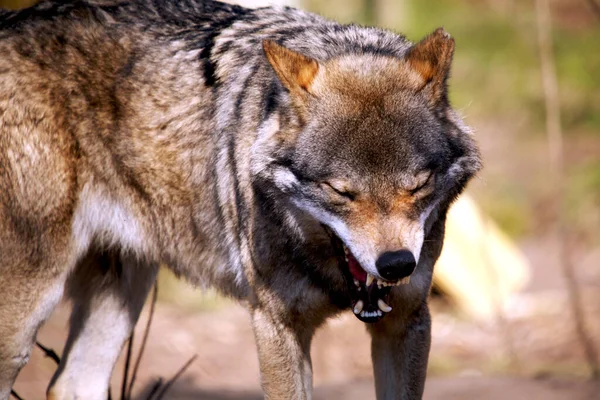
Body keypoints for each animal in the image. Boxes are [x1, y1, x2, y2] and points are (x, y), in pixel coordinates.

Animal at [0, 0, 480, 398]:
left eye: (417, 185)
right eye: (341, 191)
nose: (397, 265)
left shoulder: (407, 322)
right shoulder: (276, 325)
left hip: (124, 287)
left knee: (70, 383)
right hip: (28, 313)